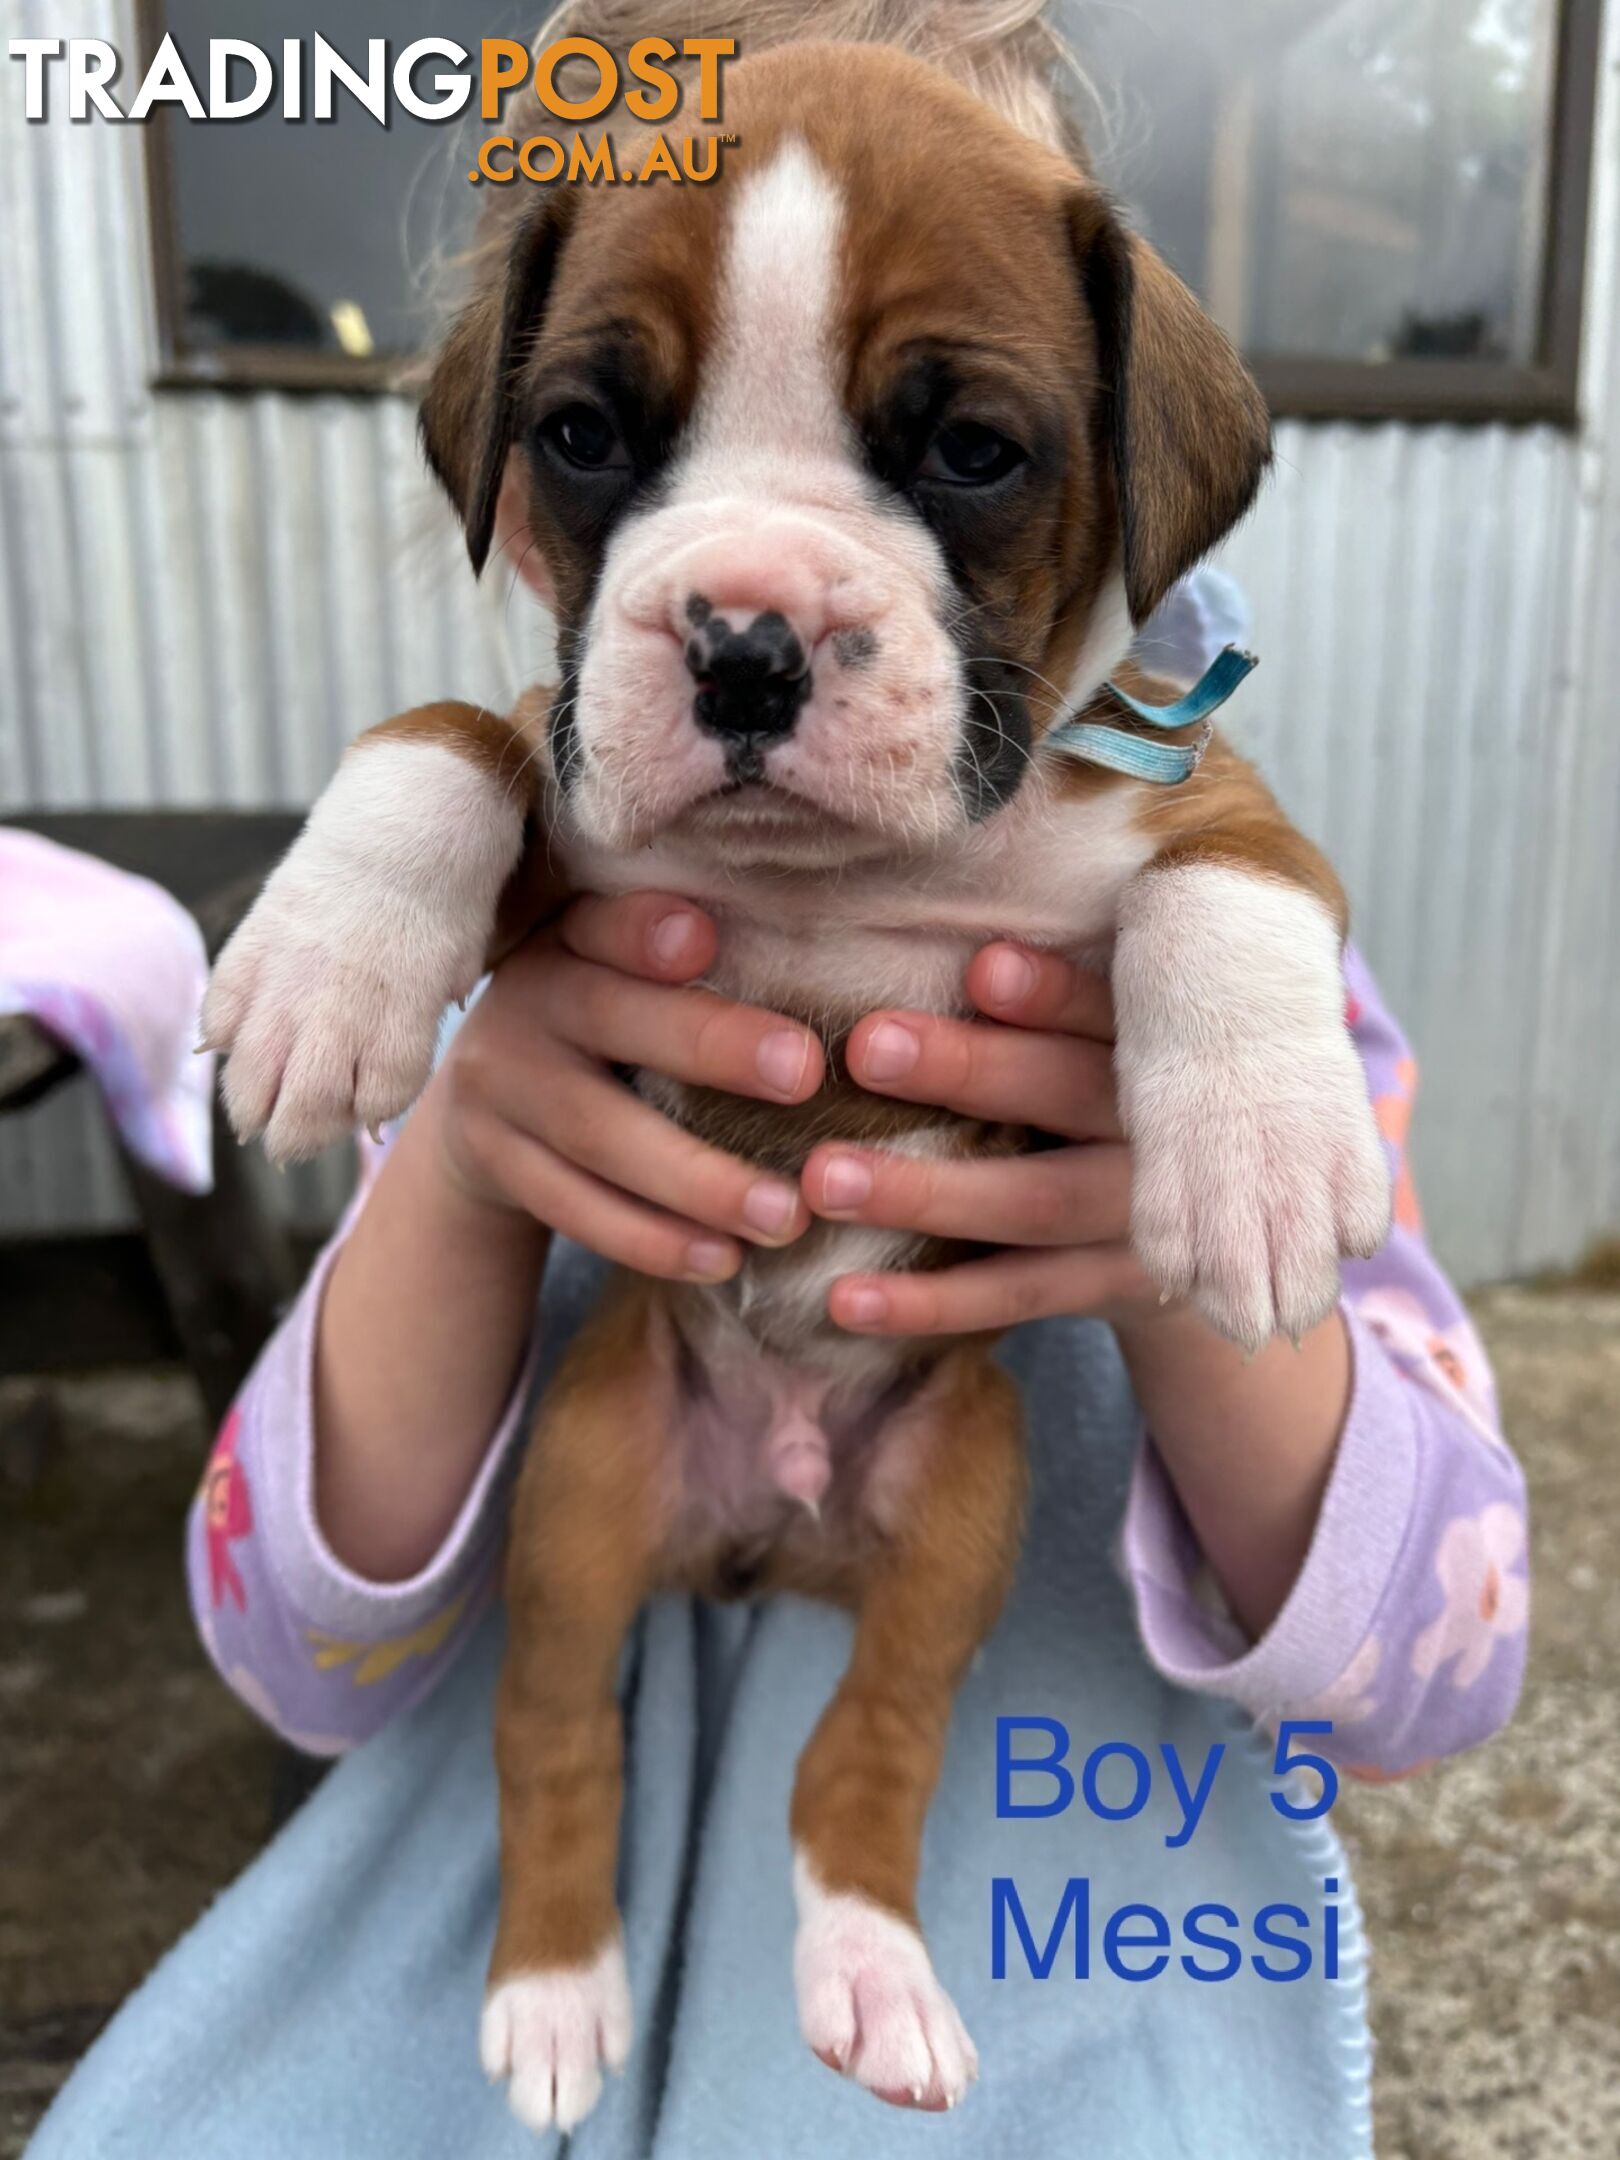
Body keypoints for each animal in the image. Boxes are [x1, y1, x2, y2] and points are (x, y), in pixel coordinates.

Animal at [206, 25, 1399, 2134]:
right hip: (580, 1511)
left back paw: (873, 1972)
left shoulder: (1206, 803)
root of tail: (766, 1519)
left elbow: (1236, 897)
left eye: (971, 451)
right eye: (584, 434)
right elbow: (442, 732)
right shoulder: (566, 758)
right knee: (552, 1738)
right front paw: (322, 971)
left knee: (869, 1752)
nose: (747, 638)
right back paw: (555, 1990)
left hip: (954, 1523)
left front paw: (1254, 1152)